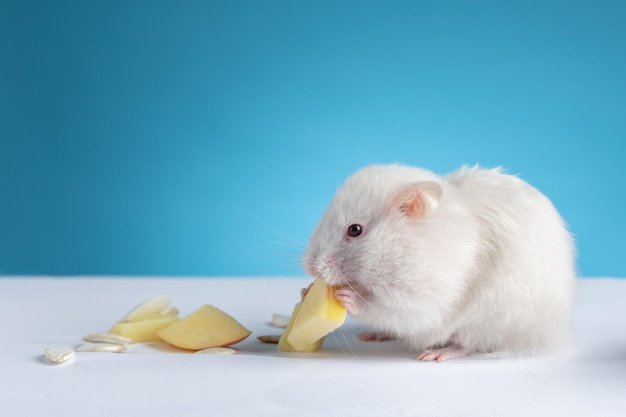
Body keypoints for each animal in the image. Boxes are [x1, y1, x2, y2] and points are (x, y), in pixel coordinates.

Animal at [300, 164, 572, 360]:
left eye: (355, 230)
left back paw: (434, 354)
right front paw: (305, 291)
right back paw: (372, 336)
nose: (308, 267)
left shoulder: (425, 296)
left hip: (490, 322)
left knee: (467, 344)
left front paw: (346, 296)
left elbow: (387, 308)